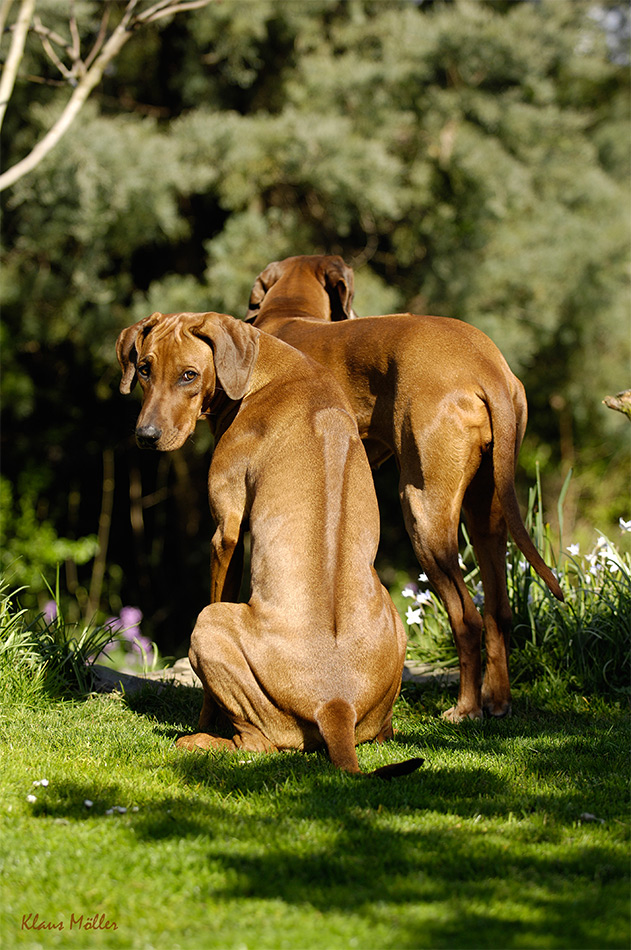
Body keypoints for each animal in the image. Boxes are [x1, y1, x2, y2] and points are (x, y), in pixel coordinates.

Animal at [117, 312, 424, 780]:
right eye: (145, 368)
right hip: (394, 625)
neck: (263, 372)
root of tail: (337, 705)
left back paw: (201, 740)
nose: (146, 436)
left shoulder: (226, 530)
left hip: (209, 625)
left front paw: (205, 720)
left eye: (189, 375)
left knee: (257, 743)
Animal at [246, 253, 564, 720]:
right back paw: (497, 701)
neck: (288, 312)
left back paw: (465, 709)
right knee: (498, 612)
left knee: (466, 617)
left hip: (420, 511)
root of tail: (486, 363)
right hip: (486, 509)